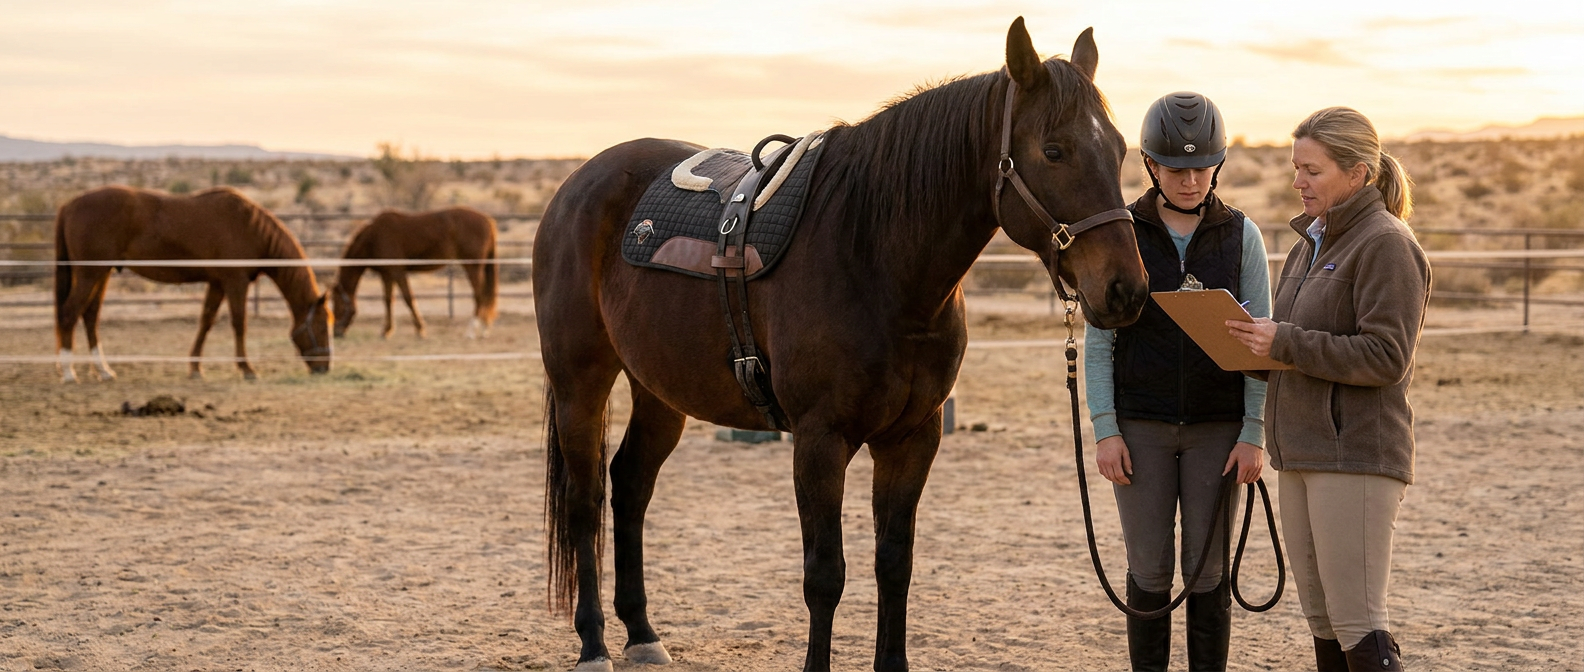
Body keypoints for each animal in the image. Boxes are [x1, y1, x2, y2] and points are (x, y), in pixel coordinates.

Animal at [54, 186, 332, 382]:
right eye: (321, 327)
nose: (324, 367)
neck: (249, 227)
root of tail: (68, 205)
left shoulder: (218, 283)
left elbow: (206, 321)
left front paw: (195, 368)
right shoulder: (236, 282)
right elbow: (239, 323)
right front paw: (247, 369)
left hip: (101, 274)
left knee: (90, 316)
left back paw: (103, 370)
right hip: (89, 274)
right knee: (70, 313)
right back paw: (68, 373)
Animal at [330, 207, 499, 339]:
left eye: (337, 305)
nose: (336, 333)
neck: (374, 237)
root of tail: (487, 221)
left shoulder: (398, 272)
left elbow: (408, 298)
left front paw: (420, 330)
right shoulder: (387, 275)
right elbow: (388, 300)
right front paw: (386, 331)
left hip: (473, 267)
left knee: (479, 295)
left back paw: (471, 332)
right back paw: (485, 330)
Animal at [533, 19, 1148, 672]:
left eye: (1118, 150)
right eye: (1053, 151)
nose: (1126, 289)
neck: (875, 256)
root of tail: (578, 184)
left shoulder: (912, 438)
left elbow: (894, 565)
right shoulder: (819, 440)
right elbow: (824, 576)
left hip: (660, 390)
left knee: (630, 485)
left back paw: (642, 634)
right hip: (580, 383)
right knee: (585, 499)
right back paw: (594, 642)